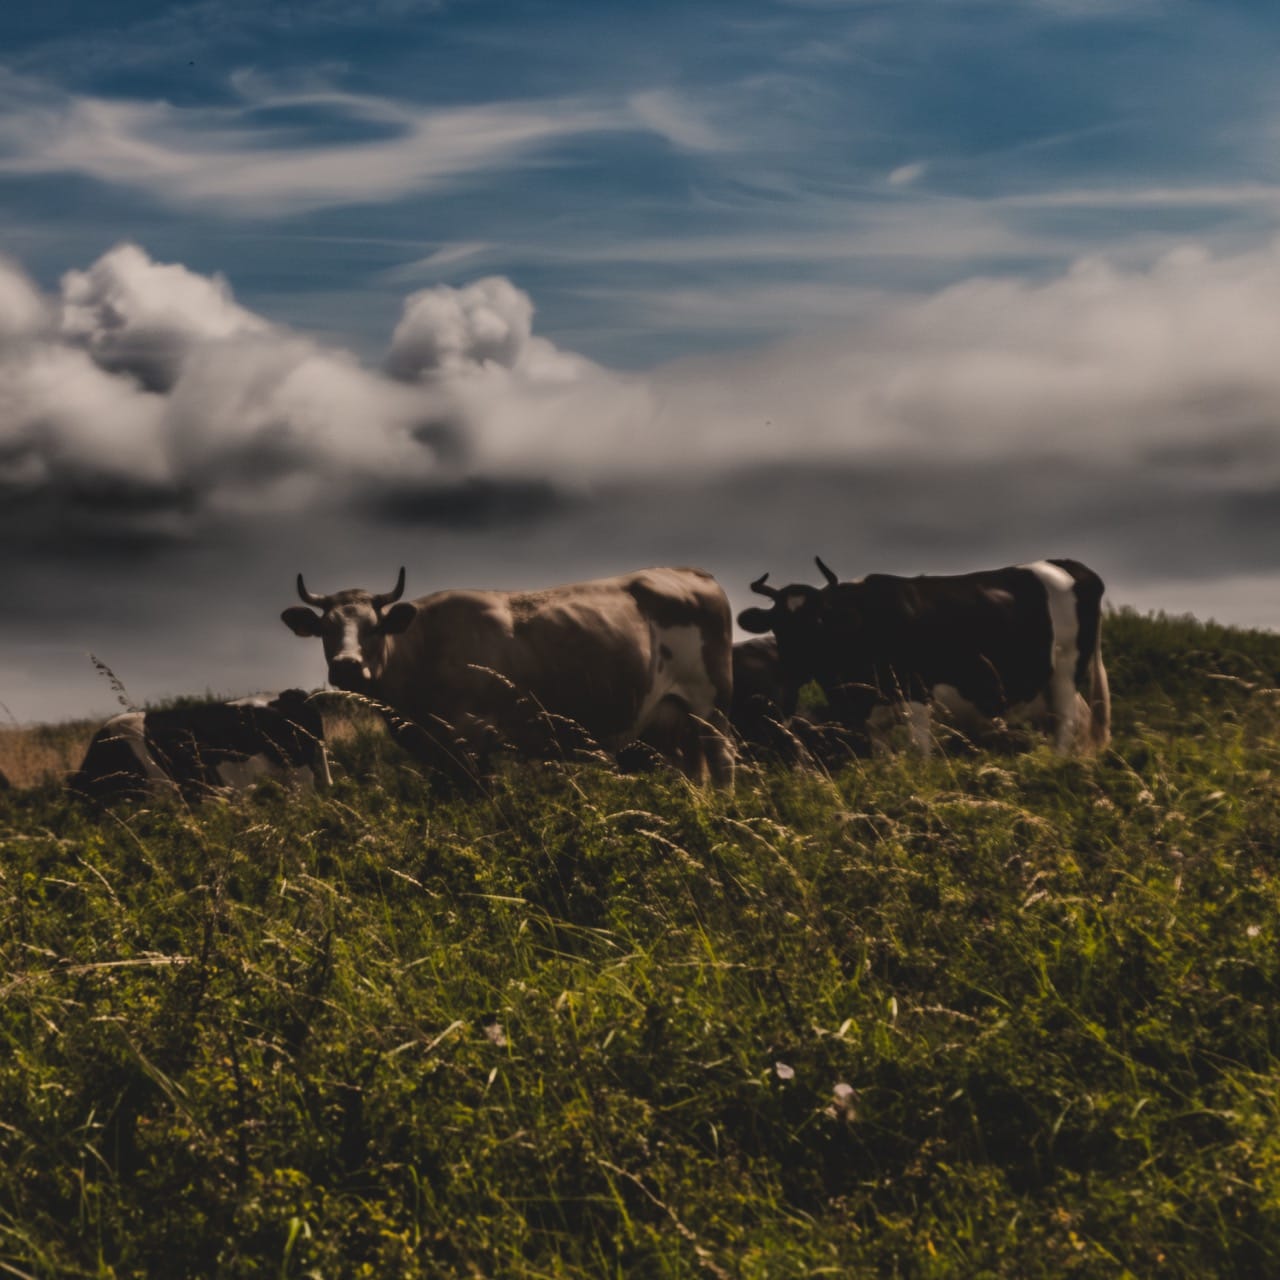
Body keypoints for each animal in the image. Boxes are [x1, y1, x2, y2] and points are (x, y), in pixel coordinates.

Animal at [280, 566, 735, 787]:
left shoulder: (472, 739)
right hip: (668, 721)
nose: (346, 664)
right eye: (325, 629)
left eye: (374, 627)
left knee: (723, 762)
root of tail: (688, 572)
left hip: (709, 707)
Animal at [737, 557, 1110, 755]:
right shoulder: (871, 721)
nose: (792, 667)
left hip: (1065, 675)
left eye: (818, 620)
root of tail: (1068, 565)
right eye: (777, 624)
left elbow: (919, 755)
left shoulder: (917, 695)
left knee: (1066, 729)